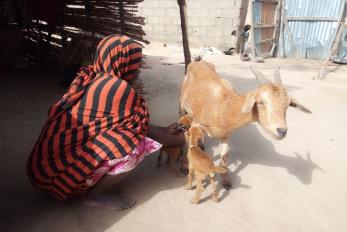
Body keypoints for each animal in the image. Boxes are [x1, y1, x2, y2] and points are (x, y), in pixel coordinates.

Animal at [181, 60, 312, 188]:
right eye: (260, 102)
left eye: (288, 105)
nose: (282, 131)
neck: (224, 106)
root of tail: (197, 62)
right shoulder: (196, 124)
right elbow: (191, 143)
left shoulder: (225, 135)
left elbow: (225, 156)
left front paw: (226, 182)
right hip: (182, 104)